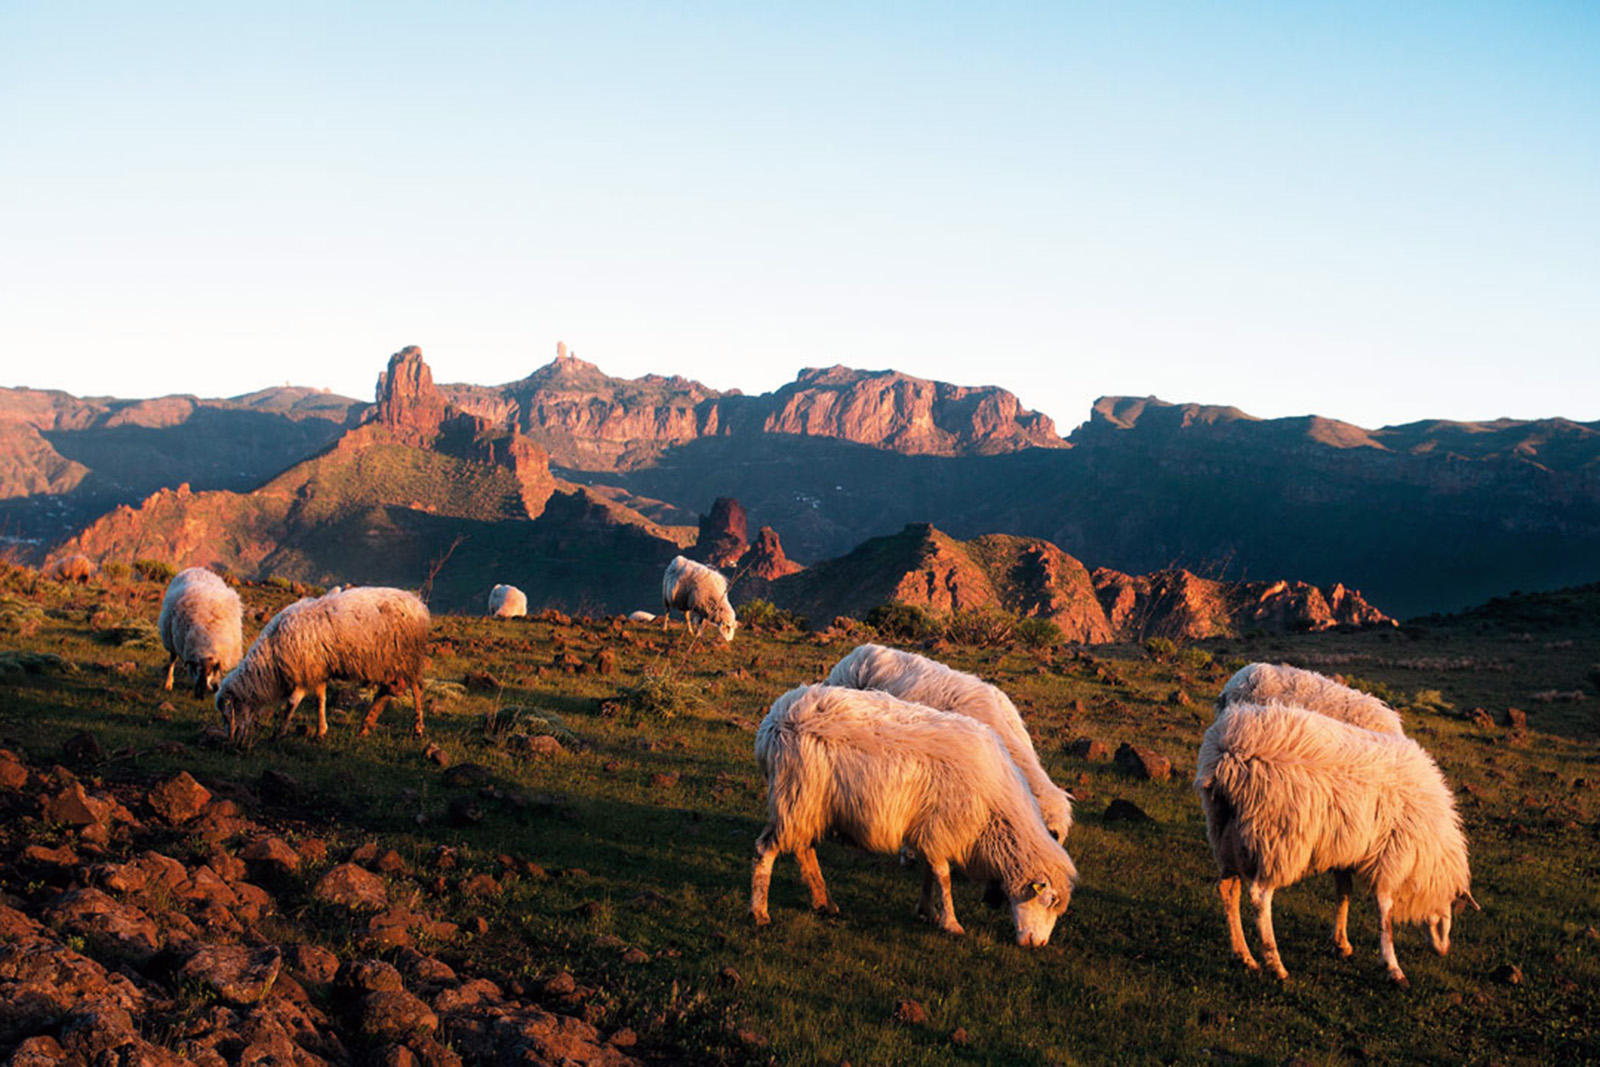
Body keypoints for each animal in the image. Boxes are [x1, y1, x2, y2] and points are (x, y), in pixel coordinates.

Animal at [156, 566, 241, 700]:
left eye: (209, 672)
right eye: (197, 670)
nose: (201, 692)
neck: (206, 643)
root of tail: (196, 568)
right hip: (171, 638)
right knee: (172, 659)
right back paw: (168, 683)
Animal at [219, 585, 435, 742]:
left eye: (229, 712)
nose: (231, 737)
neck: (271, 656)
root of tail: (418, 603)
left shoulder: (305, 673)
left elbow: (292, 703)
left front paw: (279, 733)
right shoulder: (317, 670)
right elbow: (320, 699)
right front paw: (321, 731)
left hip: (407, 657)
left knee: (416, 690)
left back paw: (418, 729)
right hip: (388, 661)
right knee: (386, 691)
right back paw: (365, 727)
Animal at [745, 684, 1075, 940]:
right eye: (1048, 900)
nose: (1037, 944)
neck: (997, 809)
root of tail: (773, 720)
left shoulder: (930, 829)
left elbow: (930, 872)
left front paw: (927, 910)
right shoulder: (943, 826)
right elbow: (944, 877)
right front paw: (951, 923)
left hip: (809, 805)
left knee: (804, 848)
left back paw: (824, 902)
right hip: (795, 796)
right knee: (765, 849)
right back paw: (760, 912)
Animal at [1196, 700, 1478, 985]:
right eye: (1451, 904)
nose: (1444, 950)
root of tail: (1228, 753)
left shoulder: (1348, 851)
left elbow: (1344, 893)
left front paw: (1341, 942)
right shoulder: (1391, 857)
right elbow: (1384, 911)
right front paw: (1392, 966)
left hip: (1226, 837)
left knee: (1228, 889)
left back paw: (1243, 955)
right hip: (1276, 840)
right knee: (1259, 896)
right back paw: (1275, 964)